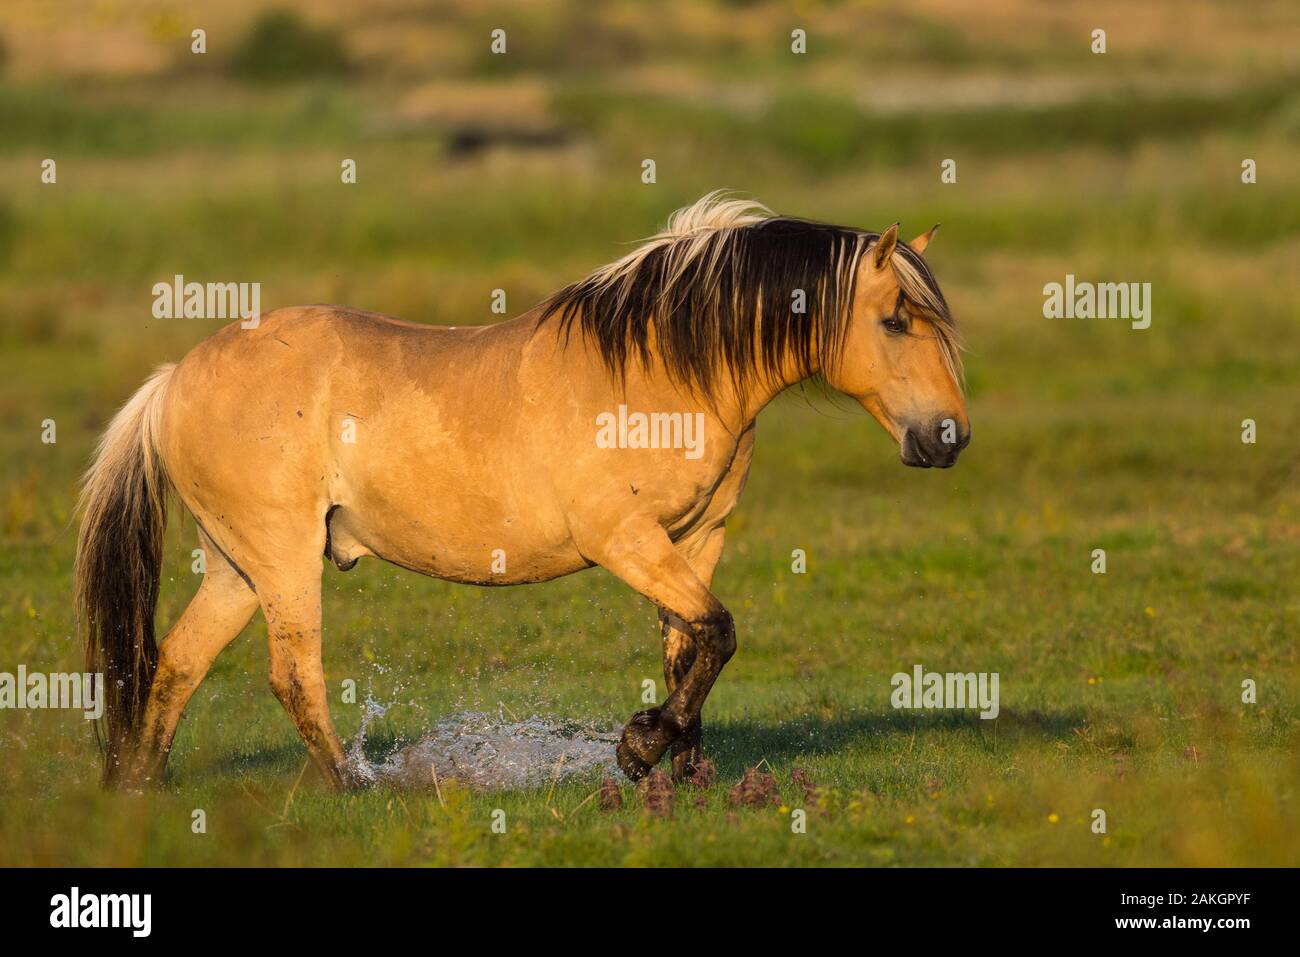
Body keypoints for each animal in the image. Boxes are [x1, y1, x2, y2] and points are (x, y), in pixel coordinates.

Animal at [71, 192, 967, 790]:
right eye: (895, 320)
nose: (946, 437)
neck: (666, 369)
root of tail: (172, 379)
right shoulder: (625, 539)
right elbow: (718, 631)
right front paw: (640, 747)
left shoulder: (694, 540)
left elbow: (690, 647)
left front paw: (683, 769)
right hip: (283, 558)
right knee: (292, 674)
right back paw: (356, 787)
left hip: (235, 565)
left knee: (175, 666)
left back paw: (139, 788)